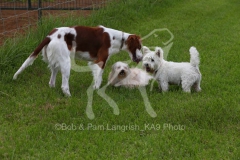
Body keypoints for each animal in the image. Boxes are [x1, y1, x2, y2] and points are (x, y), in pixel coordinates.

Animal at [12, 25, 142, 96]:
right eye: (139, 46)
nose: (140, 58)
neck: (116, 38)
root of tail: (50, 36)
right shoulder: (100, 61)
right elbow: (98, 78)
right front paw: (96, 90)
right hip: (66, 63)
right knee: (64, 86)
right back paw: (69, 96)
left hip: (56, 63)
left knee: (51, 82)